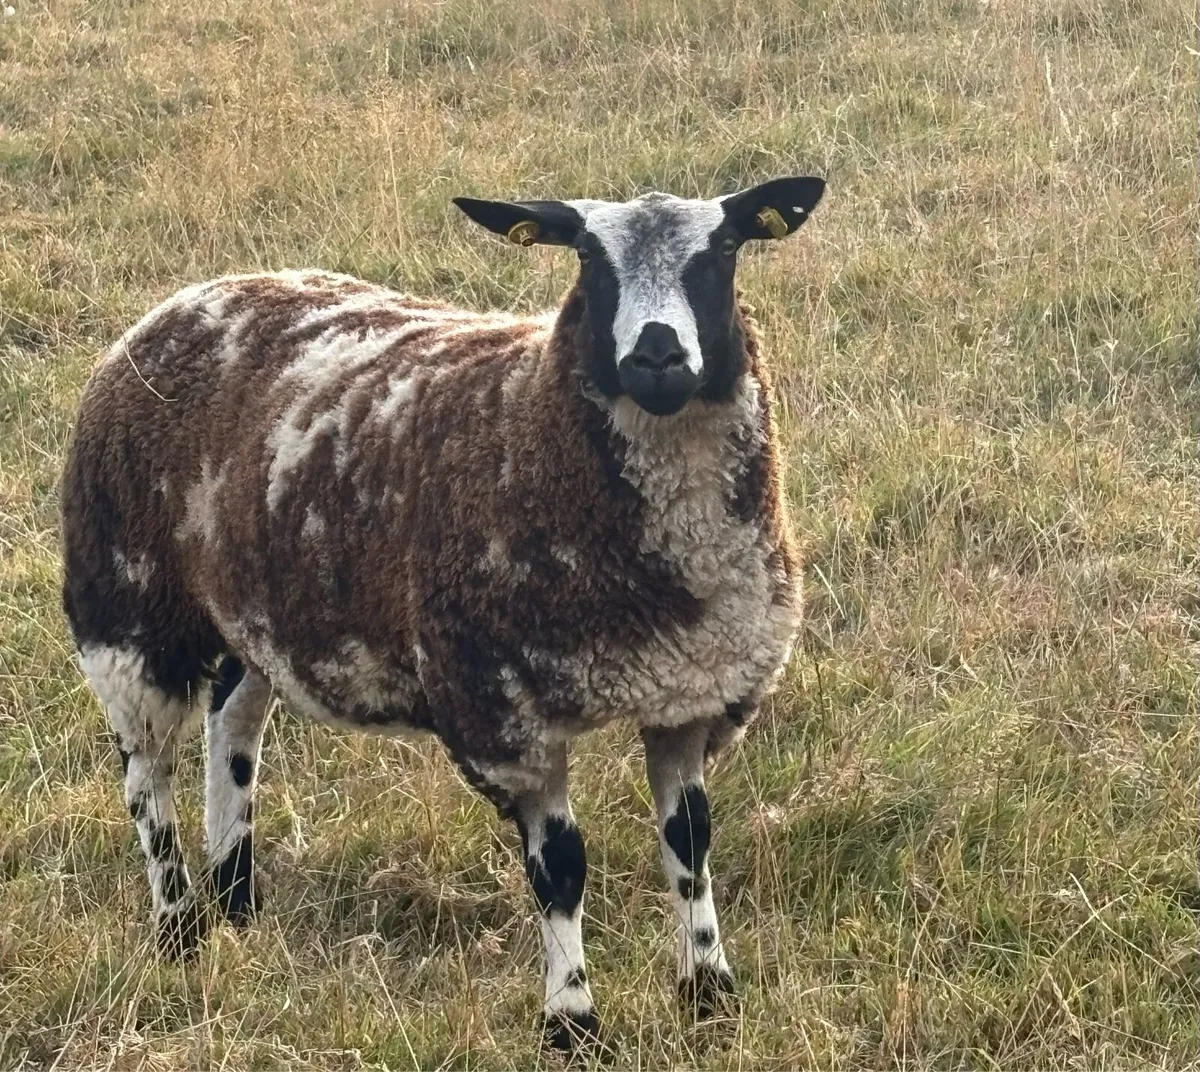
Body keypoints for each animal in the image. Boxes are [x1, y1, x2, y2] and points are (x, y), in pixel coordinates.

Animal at [60, 175, 825, 1054]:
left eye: (725, 249)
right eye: (587, 258)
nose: (658, 359)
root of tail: (183, 301)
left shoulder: (691, 693)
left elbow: (689, 845)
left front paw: (708, 991)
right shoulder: (503, 714)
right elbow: (561, 872)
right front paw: (572, 1021)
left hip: (260, 610)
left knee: (234, 718)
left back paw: (237, 898)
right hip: (126, 604)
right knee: (145, 771)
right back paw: (179, 924)